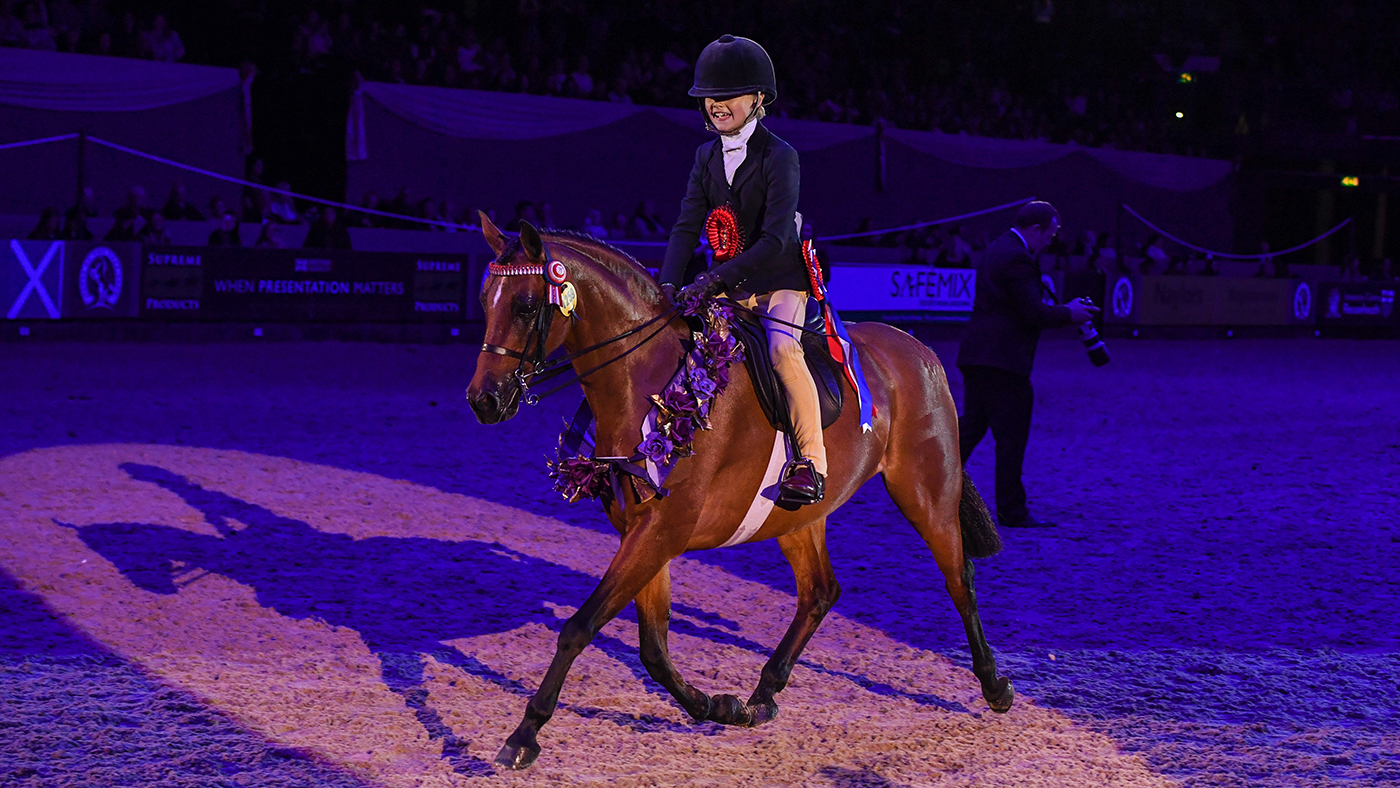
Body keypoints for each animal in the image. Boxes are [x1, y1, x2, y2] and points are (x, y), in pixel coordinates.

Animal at [466, 214, 1013, 770]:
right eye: (486, 299)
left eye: (526, 305)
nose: (483, 400)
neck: (649, 380)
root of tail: (917, 347)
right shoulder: (641, 532)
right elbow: (654, 650)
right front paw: (719, 707)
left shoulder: (662, 530)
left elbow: (580, 627)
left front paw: (525, 734)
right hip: (795, 515)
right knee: (820, 591)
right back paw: (763, 695)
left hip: (926, 491)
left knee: (959, 578)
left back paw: (995, 686)